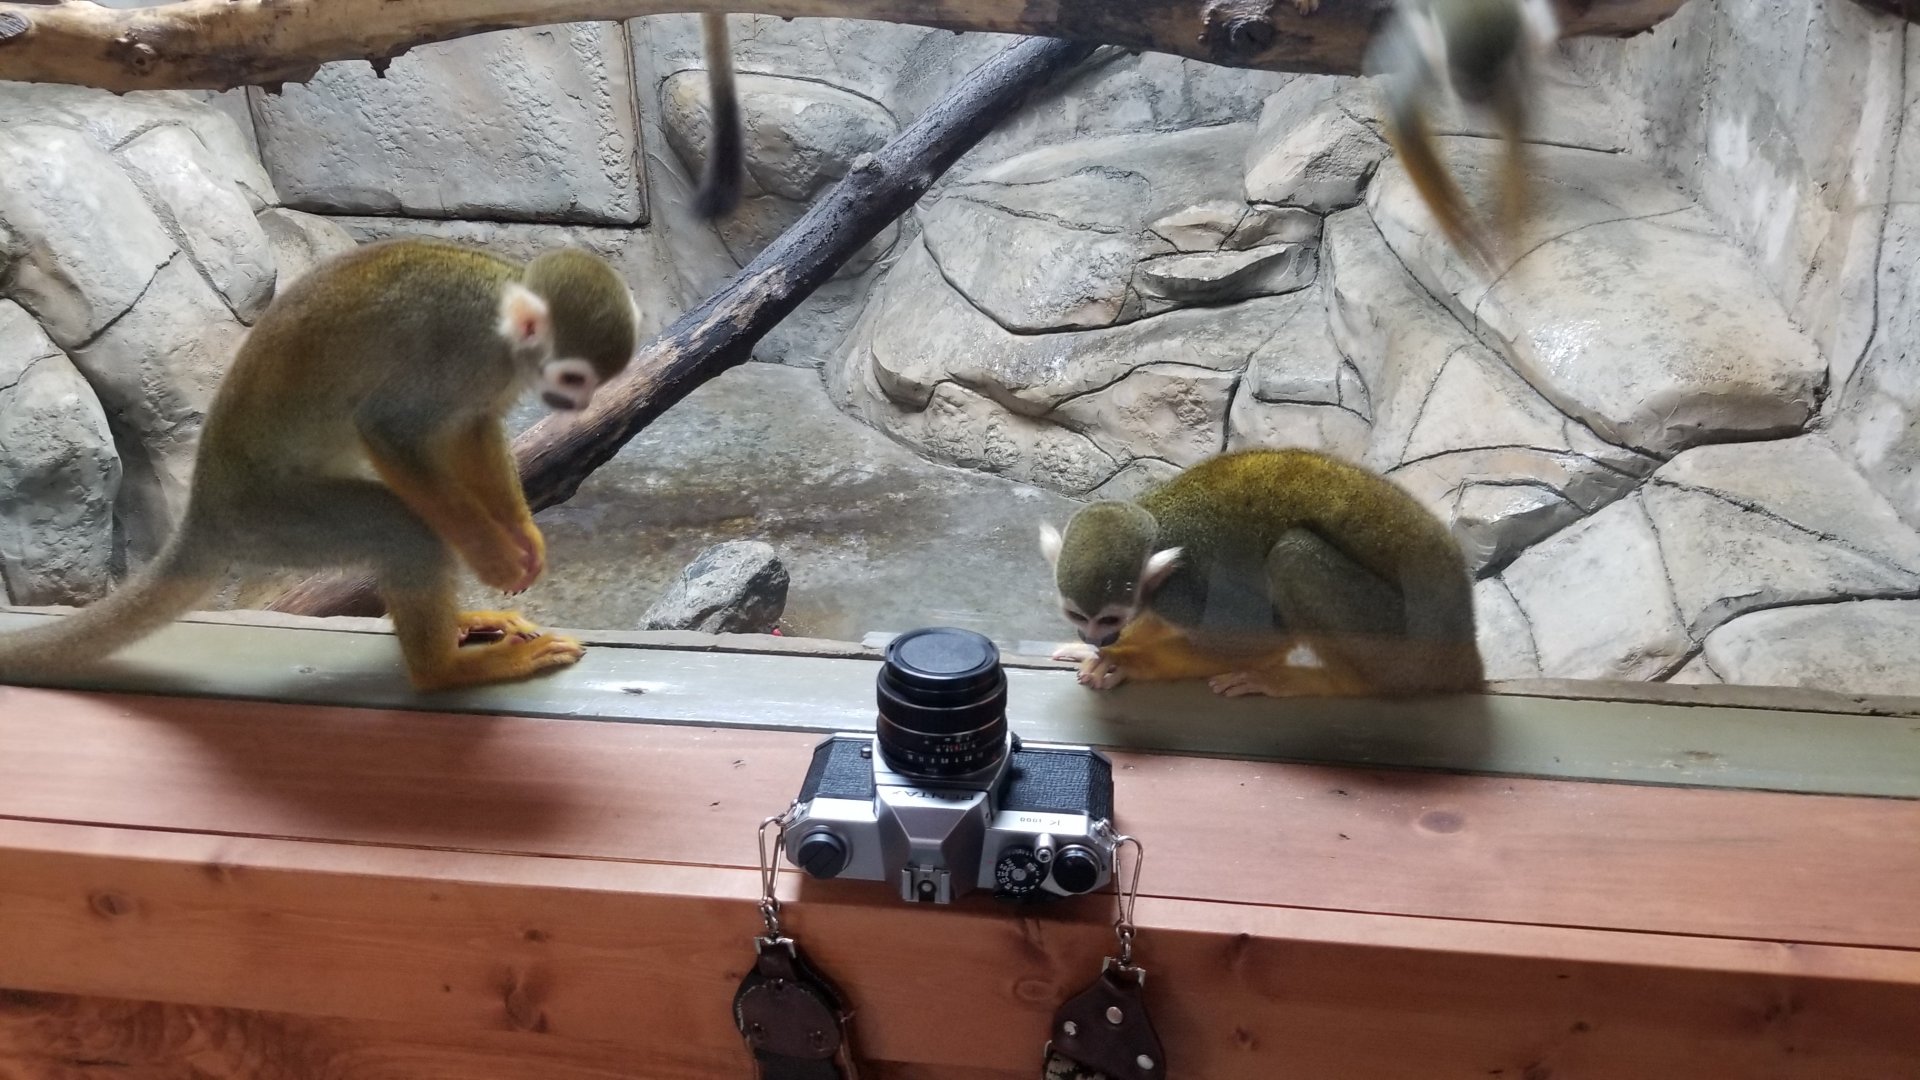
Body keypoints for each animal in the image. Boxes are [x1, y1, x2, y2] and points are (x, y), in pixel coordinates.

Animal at [0, 238, 640, 693]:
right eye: (573, 379)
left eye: (590, 384)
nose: (576, 405)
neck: (505, 330)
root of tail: (203, 509)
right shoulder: (456, 352)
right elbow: (389, 431)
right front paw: (493, 554)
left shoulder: (489, 379)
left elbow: (472, 430)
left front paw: (522, 535)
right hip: (272, 521)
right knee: (400, 528)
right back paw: (442, 672)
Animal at [1038, 448, 1484, 698]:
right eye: (1077, 616)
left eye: (1108, 618)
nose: (1095, 637)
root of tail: (1465, 648)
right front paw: (1103, 651)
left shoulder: (1181, 593)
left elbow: (1264, 638)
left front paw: (1128, 661)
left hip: (1412, 648)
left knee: (1293, 556)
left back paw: (1336, 684)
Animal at [1365, 0, 1560, 270]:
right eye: (1464, 87)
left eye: (1486, 90)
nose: (1476, 105)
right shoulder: (1424, 56)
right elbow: (1406, 126)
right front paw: (1461, 232)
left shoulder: (1511, 64)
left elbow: (1515, 124)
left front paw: (1509, 236)